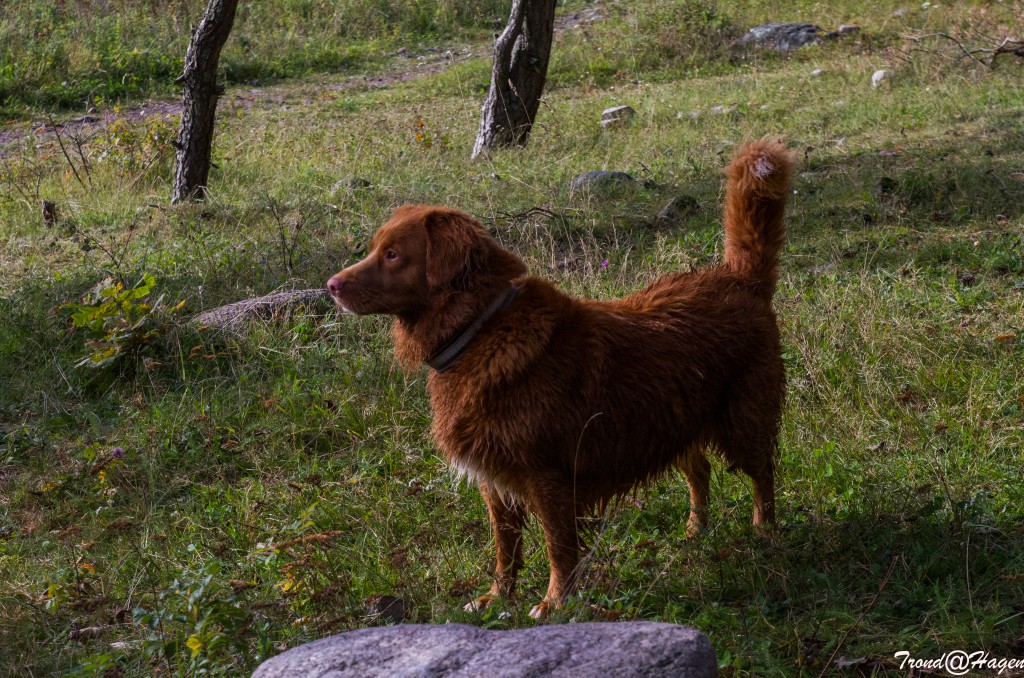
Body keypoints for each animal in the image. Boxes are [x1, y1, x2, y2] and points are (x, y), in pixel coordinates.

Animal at [331, 140, 794, 618]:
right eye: (376, 249)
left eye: (392, 255)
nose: (331, 285)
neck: (481, 329)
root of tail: (738, 278)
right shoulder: (494, 483)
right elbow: (505, 549)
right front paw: (498, 596)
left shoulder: (549, 478)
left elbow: (559, 547)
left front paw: (555, 602)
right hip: (671, 419)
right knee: (699, 470)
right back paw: (695, 531)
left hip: (741, 421)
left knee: (763, 473)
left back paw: (765, 531)